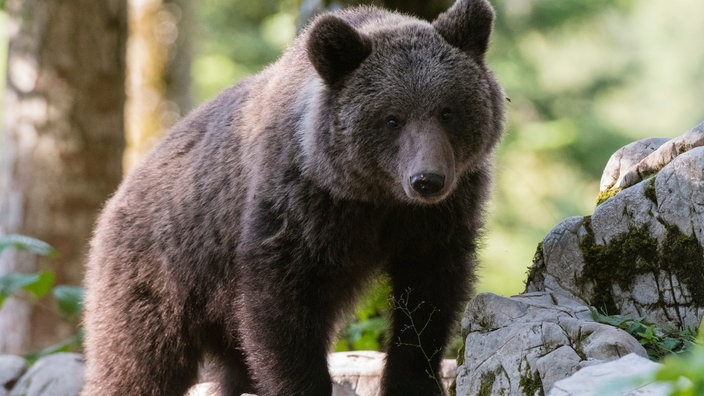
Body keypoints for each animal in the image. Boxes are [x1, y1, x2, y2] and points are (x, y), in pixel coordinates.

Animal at [82, 0, 504, 396]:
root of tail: (118, 194)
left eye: (448, 111)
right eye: (391, 118)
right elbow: (282, 310)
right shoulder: (298, 207)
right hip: (163, 273)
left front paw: (413, 381)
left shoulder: (437, 219)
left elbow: (429, 299)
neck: (373, 197)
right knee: (139, 360)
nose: (426, 180)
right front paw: (303, 384)